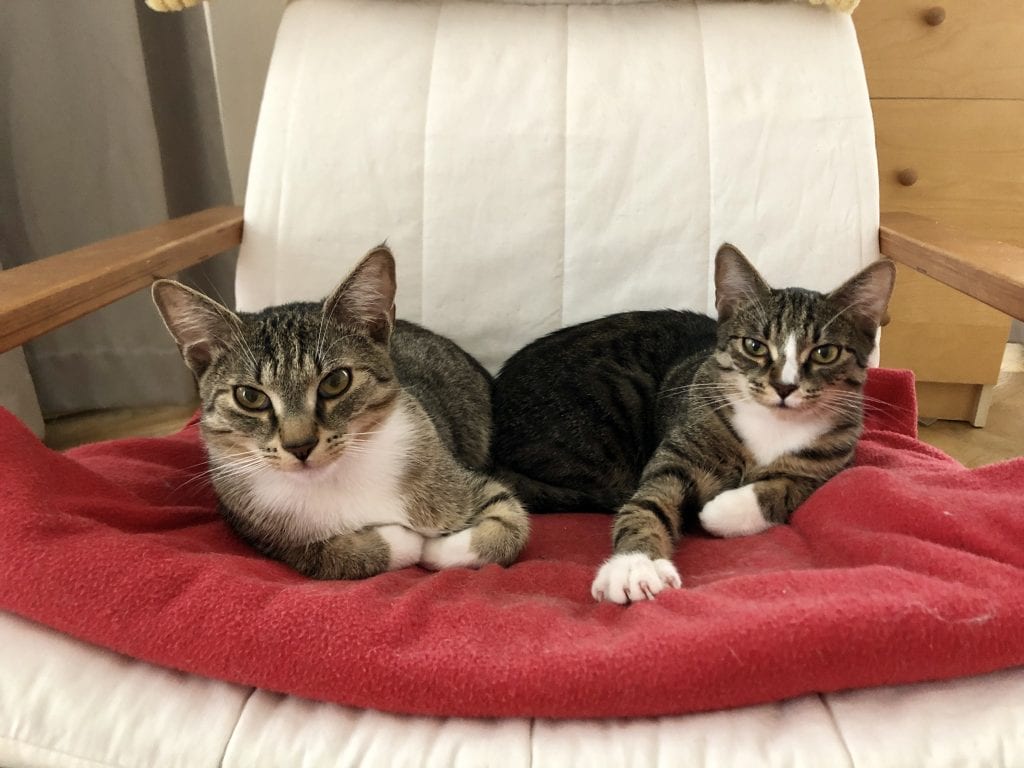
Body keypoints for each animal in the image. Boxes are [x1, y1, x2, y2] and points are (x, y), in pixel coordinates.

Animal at [157, 249, 536, 581]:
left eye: (336, 381)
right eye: (250, 397)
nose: (300, 445)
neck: (337, 478)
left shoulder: (467, 482)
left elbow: (508, 526)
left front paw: (435, 548)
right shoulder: (263, 534)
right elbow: (330, 554)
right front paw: (406, 541)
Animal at [491, 243, 892, 606]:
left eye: (825, 352)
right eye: (755, 346)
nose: (784, 386)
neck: (773, 426)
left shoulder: (832, 462)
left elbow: (788, 487)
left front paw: (722, 510)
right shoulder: (679, 452)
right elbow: (650, 499)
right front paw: (634, 564)